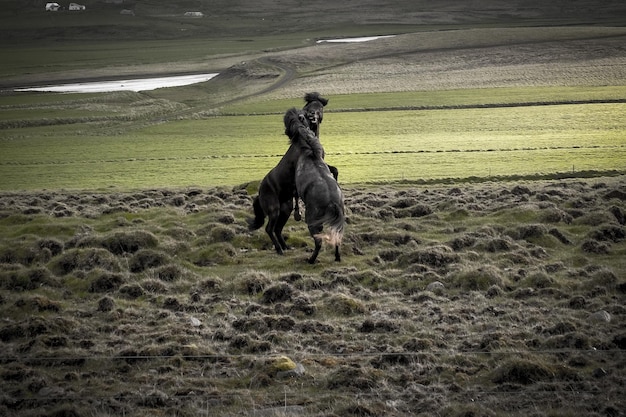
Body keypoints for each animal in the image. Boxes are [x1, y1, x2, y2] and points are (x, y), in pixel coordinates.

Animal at [288, 109, 346, 262]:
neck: (310, 153)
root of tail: (332, 202)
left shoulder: (296, 184)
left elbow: (295, 194)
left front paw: (297, 214)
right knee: (336, 238)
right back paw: (337, 257)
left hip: (313, 222)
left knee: (319, 241)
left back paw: (311, 260)